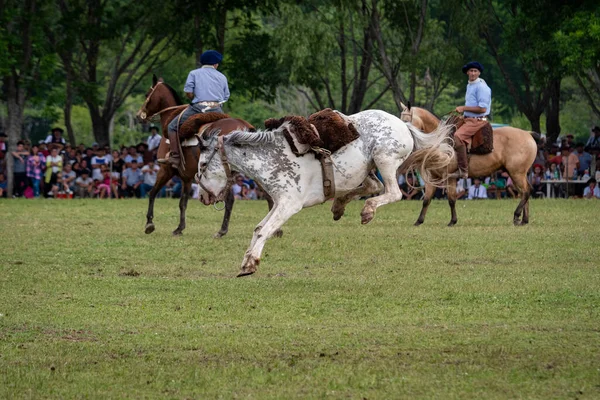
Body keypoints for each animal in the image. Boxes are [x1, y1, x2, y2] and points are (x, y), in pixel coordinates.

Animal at [137, 75, 276, 236]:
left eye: (147, 94)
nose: (139, 115)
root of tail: (244, 127)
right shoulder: (187, 177)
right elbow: (182, 202)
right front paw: (180, 227)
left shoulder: (166, 169)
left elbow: (152, 193)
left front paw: (149, 223)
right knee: (268, 196)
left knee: (230, 200)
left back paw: (222, 231)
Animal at [197, 111, 454, 276]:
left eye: (202, 165)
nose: (203, 197)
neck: (272, 158)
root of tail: (404, 124)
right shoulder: (278, 203)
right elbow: (259, 228)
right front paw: (247, 261)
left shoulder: (289, 204)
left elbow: (264, 231)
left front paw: (250, 264)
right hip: (366, 170)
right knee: (373, 187)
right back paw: (338, 205)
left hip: (385, 161)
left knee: (392, 192)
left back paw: (367, 210)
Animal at [400, 104, 536, 227]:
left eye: (406, 121)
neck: (441, 143)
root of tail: (528, 134)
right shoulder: (432, 178)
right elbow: (426, 200)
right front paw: (419, 221)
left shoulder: (450, 178)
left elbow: (451, 199)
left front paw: (452, 221)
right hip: (515, 174)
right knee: (525, 192)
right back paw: (524, 220)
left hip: (516, 173)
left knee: (526, 191)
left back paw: (517, 216)